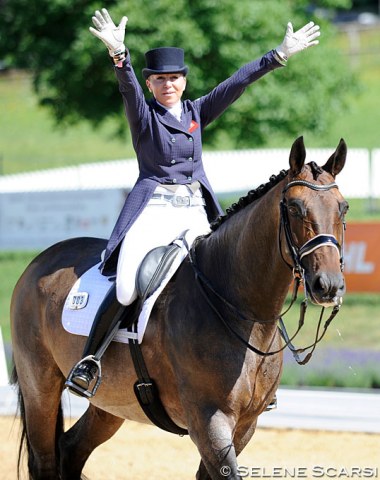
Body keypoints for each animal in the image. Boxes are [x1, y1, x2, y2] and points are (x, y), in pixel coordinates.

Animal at [9, 137, 348, 478]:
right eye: (294, 207)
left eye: (343, 207)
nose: (328, 285)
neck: (238, 308)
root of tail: (41, 261)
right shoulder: (209, 421)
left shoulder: (245, 426)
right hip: (40, 387)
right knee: (46, 459)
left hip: (111, 403)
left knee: (72, 448)